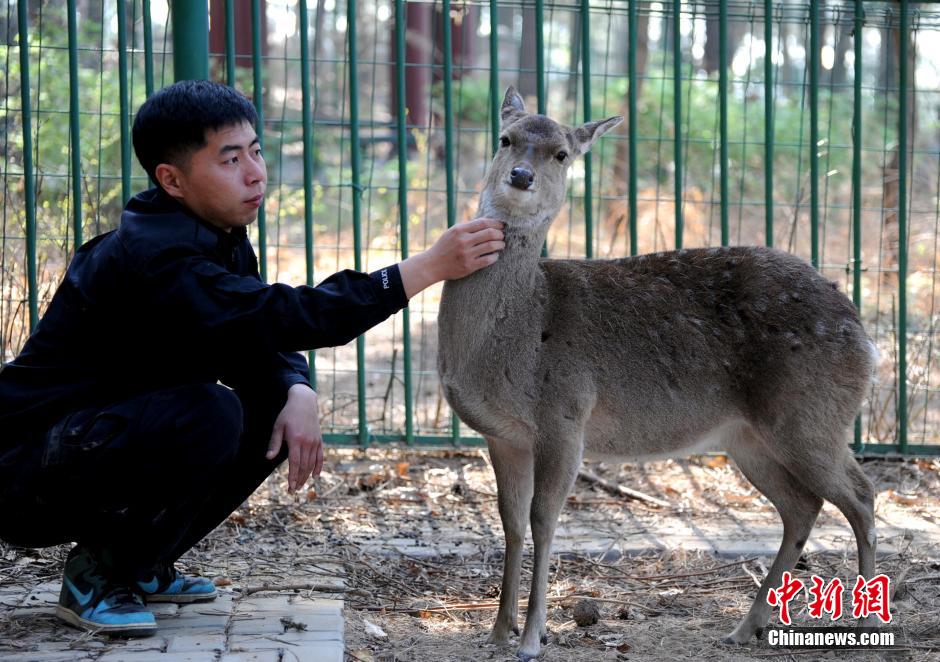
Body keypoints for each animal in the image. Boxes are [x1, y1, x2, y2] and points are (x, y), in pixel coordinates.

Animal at [436, 87, 876, 660]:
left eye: (561, 153)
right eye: (505, 138)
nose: (521, 176)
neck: (518, 335)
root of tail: (867, 340)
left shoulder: (565, 414)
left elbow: (544, 520)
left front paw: (532, 637)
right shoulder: (504, 434)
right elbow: (509, 522)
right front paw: (496, 631)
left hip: (812, 416)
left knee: (862, 496)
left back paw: (864, 625)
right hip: (749, 437)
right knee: (804, 504)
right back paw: (746, 626)